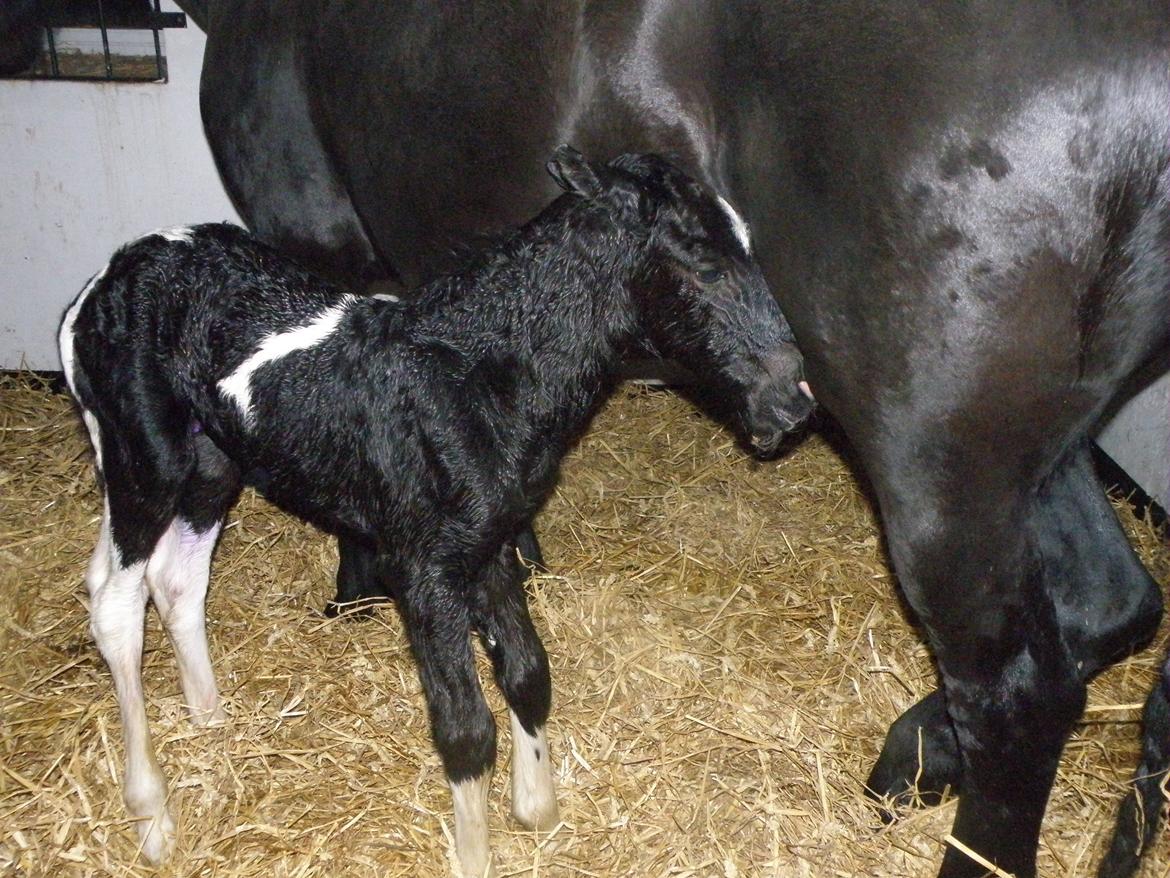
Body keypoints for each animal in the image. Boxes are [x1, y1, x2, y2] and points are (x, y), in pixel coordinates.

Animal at [59, 148, 809, 875]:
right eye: (701, 262)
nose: (793, 403)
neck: (478, 380)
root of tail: (104, 279)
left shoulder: (493, 545)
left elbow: (528, 674)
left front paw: (537, 811)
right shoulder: (422, 570)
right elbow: (465, 728)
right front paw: (478, 852)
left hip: (213, 462)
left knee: (178, 580)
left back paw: (211, 723)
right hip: (143, 458)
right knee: (116, 601)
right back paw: (152, 818)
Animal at [182, 3, 1170, 875]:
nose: (783, 395)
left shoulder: (321, 246)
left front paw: (357, 586)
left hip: (937, 469)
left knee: (1016, 694)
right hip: (1027, 450)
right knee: (1110, 602)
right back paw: (911, 761)